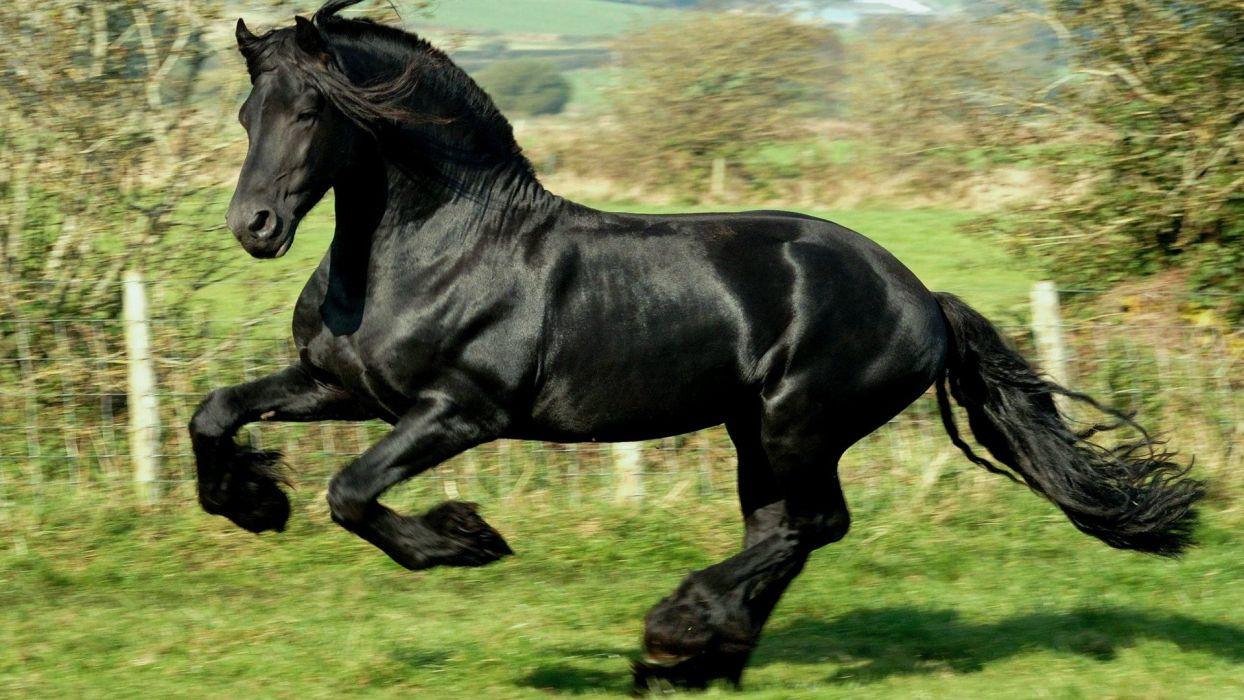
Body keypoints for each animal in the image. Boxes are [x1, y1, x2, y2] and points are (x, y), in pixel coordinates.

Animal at [189, 0, 1204, 689]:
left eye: (311, 113)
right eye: (245, 115)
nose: (255, 227)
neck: (437, 246)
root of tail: (923, 297)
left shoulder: (459, 412)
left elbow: (353, 492)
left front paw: (467, 541)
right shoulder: (343, 388)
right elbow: (215, 413)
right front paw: (251, 503)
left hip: (799, 421)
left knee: (808, 525)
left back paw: (677, 634)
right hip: (754, 429)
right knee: (784, 531)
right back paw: (701, 659)